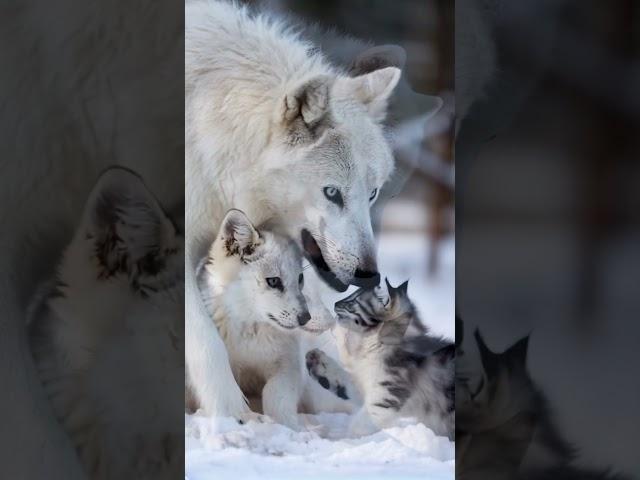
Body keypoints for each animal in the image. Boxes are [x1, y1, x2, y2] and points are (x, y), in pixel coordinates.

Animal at [306, 280, 452, 440]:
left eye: (353, 301)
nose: (335, 303)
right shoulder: (367, 384)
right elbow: (344, 380)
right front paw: (318, 362)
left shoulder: (383, 397)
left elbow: (359, 425)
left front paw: (338, 439)